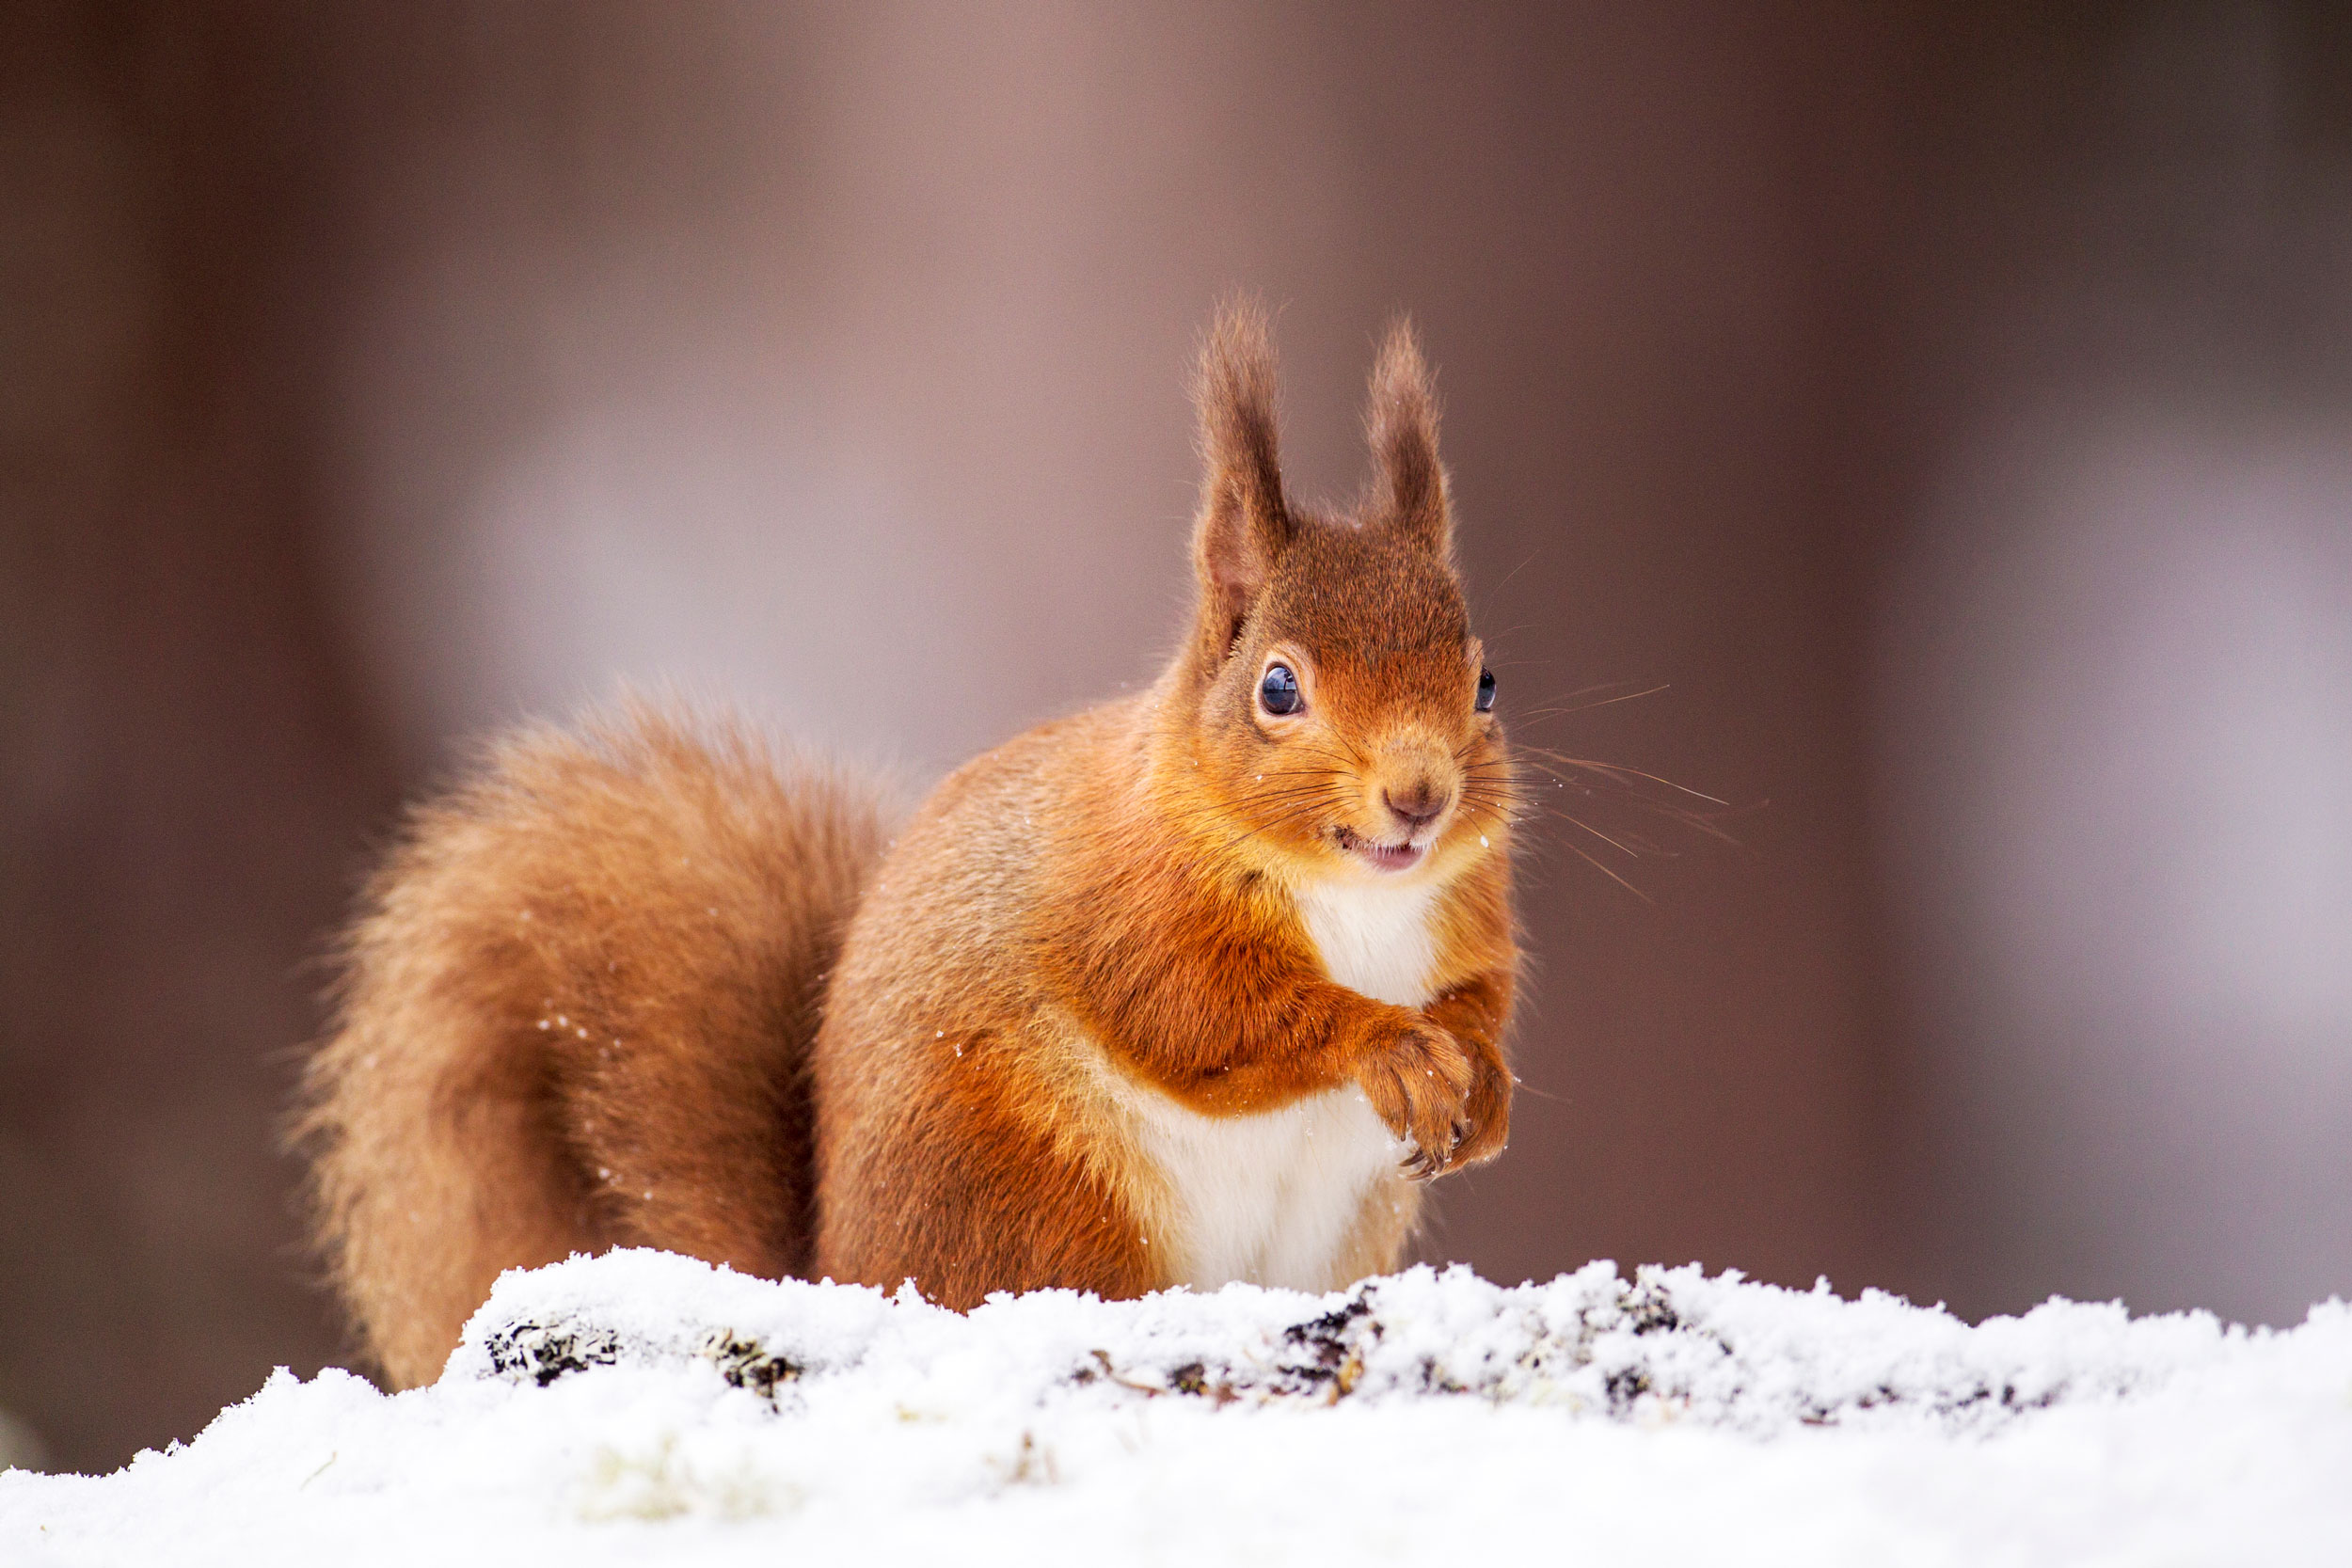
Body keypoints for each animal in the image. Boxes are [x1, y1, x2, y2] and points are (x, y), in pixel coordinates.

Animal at [294, 303, 1515, 1382]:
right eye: (1278, 688)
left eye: (1486, 680)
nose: (1418, 796)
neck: (1353, 894)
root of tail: (841, 1267)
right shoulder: (1127, 902)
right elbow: (1200, 1016)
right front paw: (1389, 1046)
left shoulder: (1468, 914)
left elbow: (1478, 998)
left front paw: (1483, 1080)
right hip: (1041, 1191)